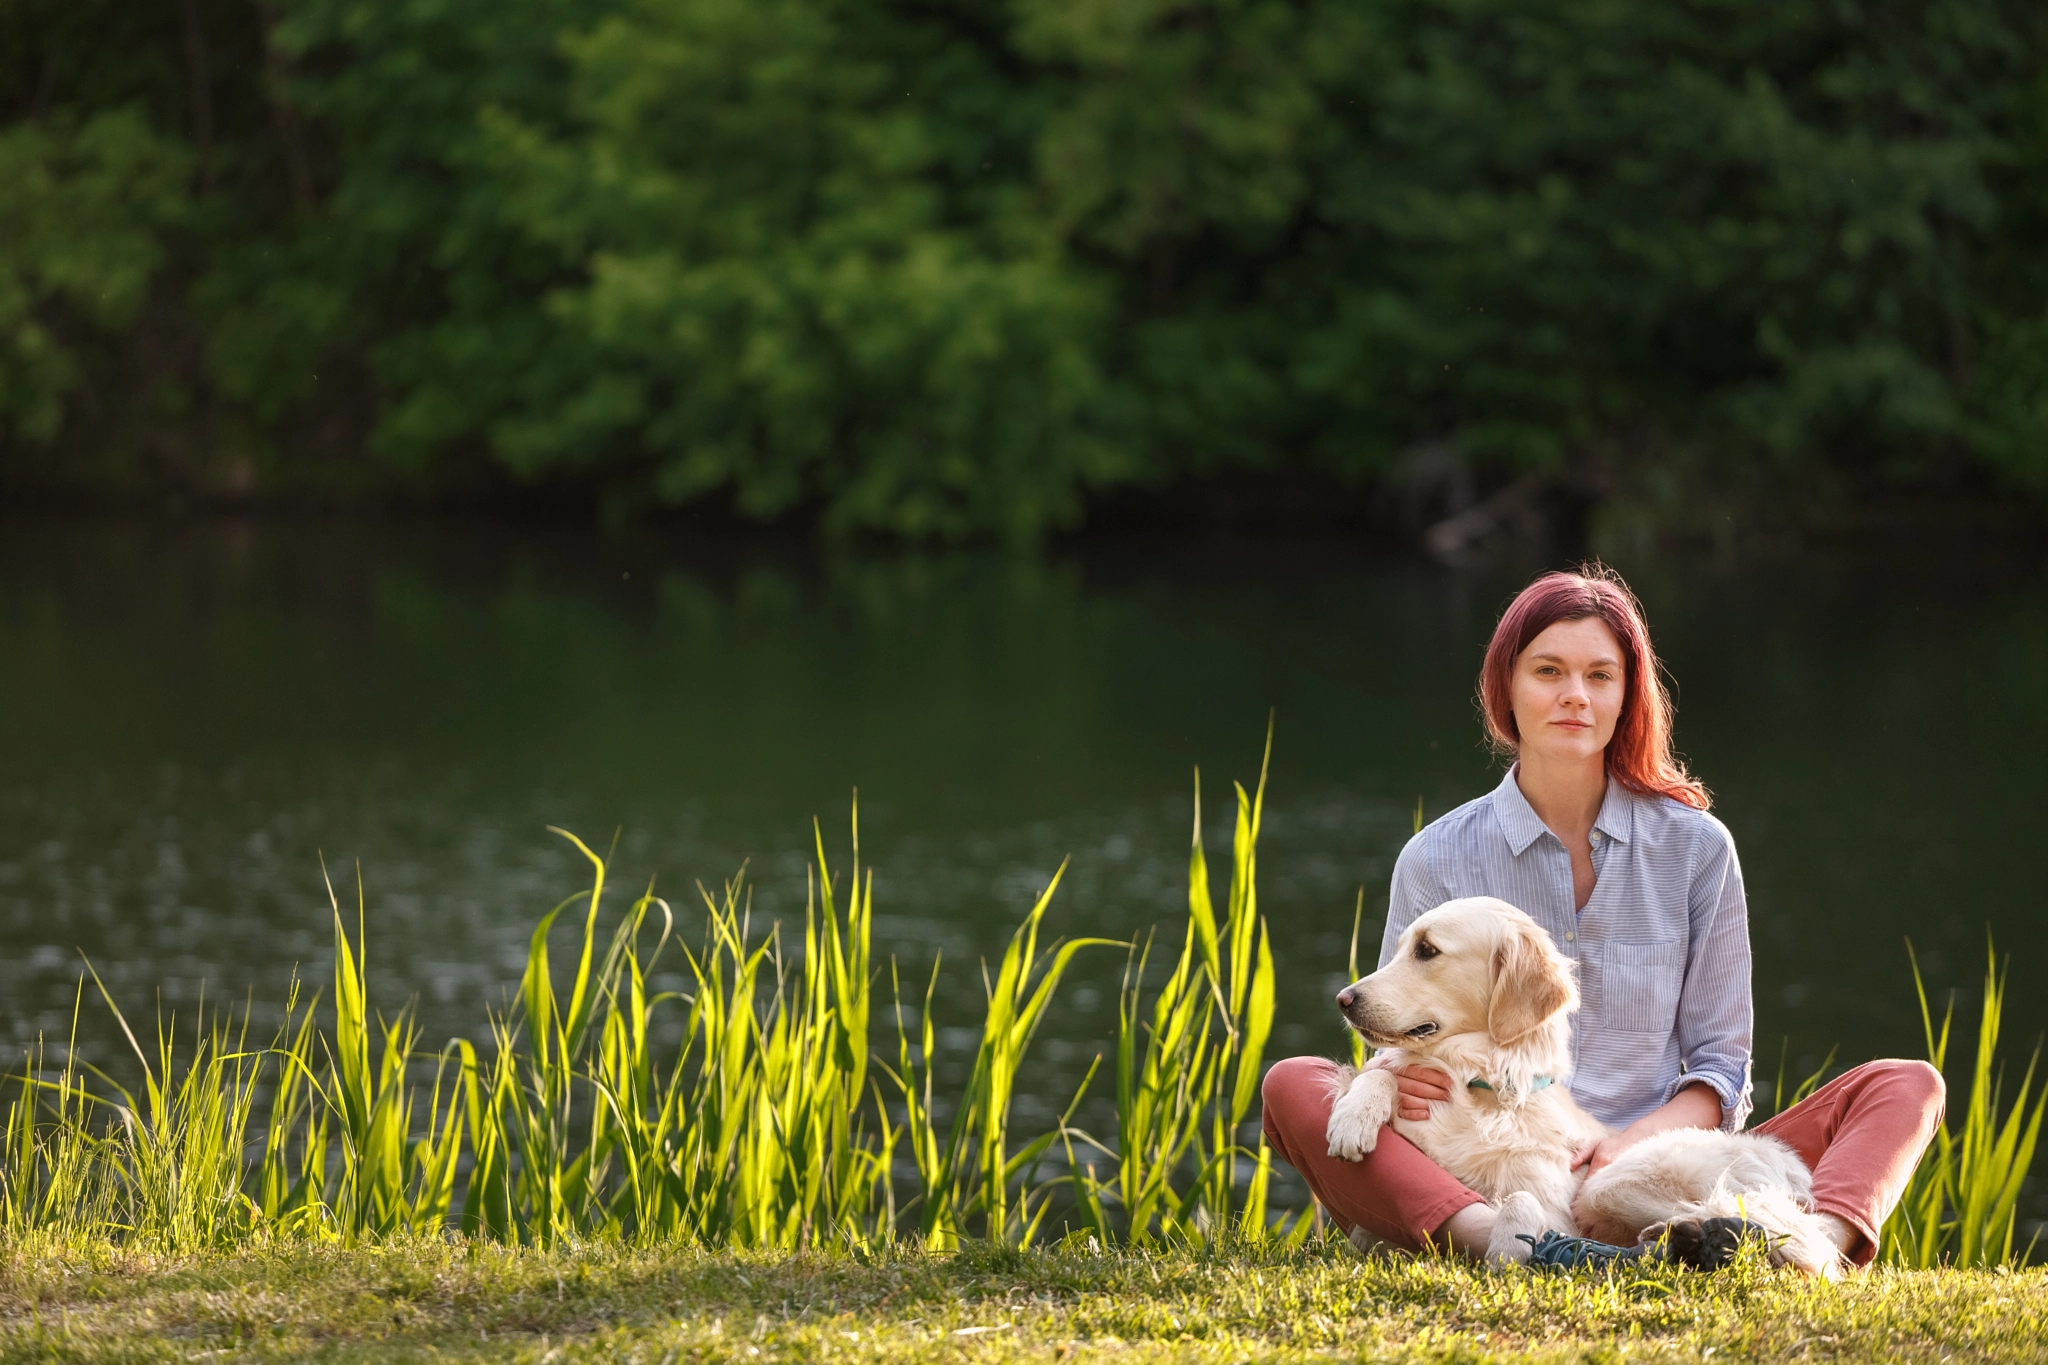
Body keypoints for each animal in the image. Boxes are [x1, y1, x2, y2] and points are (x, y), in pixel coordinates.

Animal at [1327, 896, 1843, 1285]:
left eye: (1428, 950)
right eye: (1402, 949)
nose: (1343, 1000)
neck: (1477, 1084)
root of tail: (1784, 1161)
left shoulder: (1559, 1205)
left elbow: (1519, 1199)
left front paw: (1505, 1252)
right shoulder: (1370, 1234)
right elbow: (1382, 1073)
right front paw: (1352, 1117)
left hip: (1607, 1184)